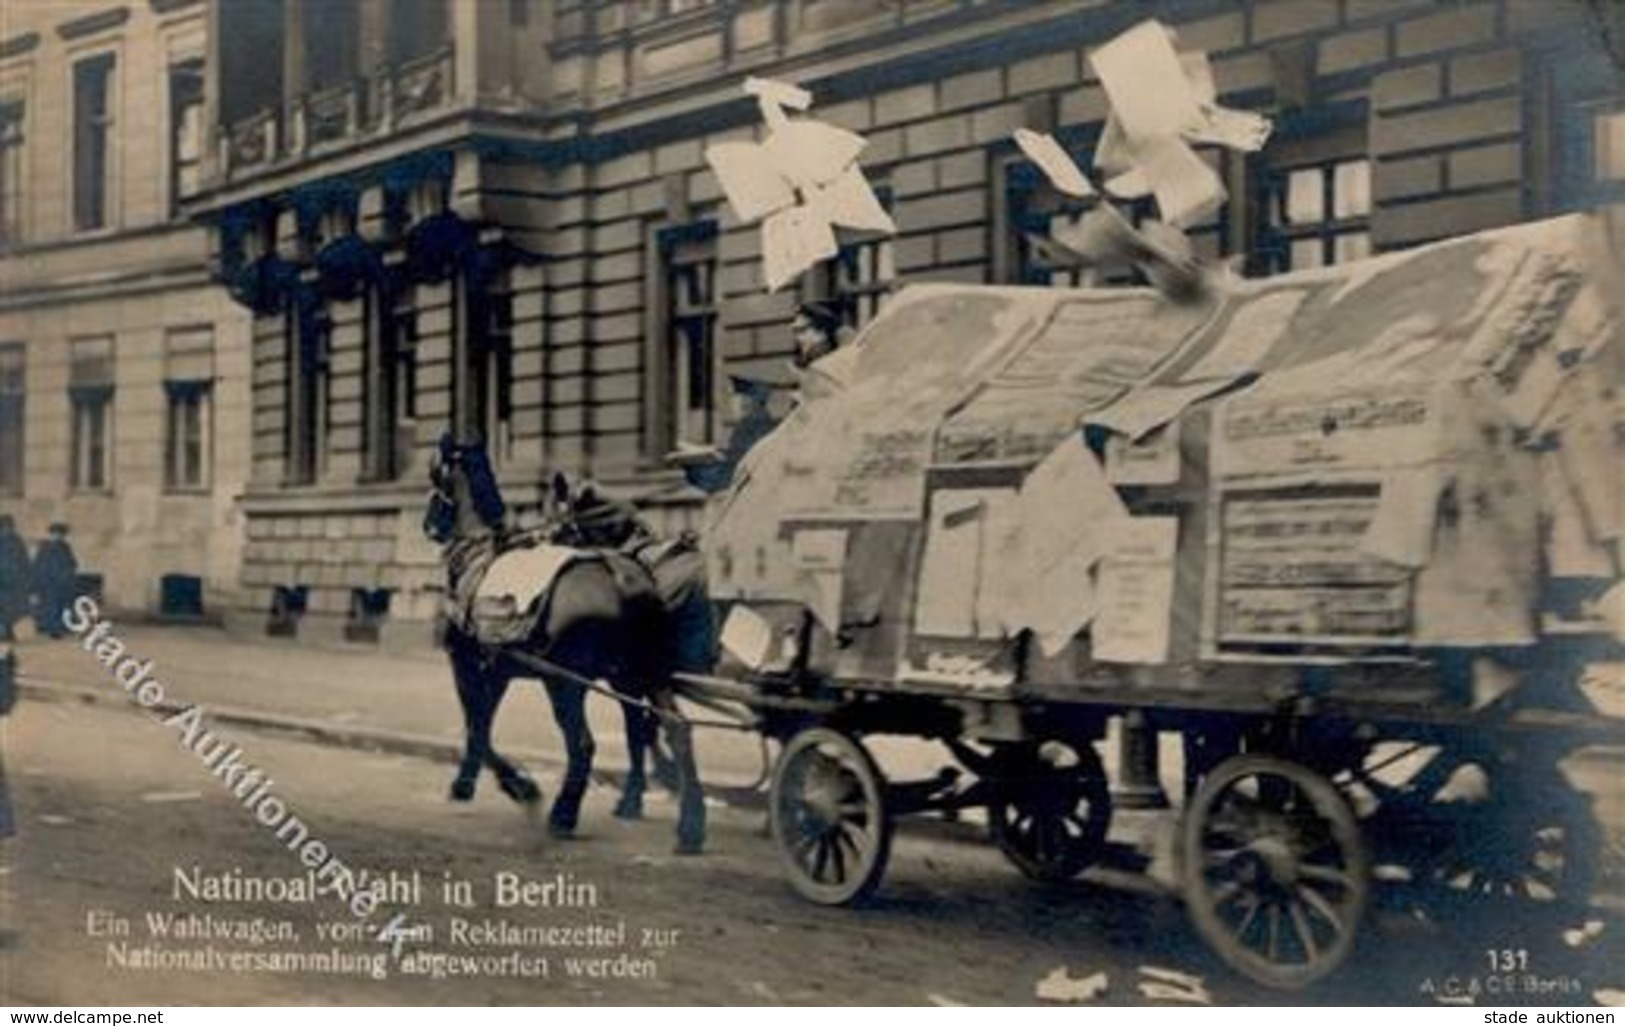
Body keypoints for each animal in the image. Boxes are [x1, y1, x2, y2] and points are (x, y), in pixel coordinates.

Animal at [419, 439, 705, 852]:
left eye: (435, 477)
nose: (428, 524)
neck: (476, 553)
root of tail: (621, 574)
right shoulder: (498, 670)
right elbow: (482, 724)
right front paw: (470, 781)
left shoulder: (465, 664)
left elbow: (477, 728)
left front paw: (517, 786)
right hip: (640, 675)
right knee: (675, 729)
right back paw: (690, 824)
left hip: (566, 684)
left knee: (584, 744)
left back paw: (564, 814)